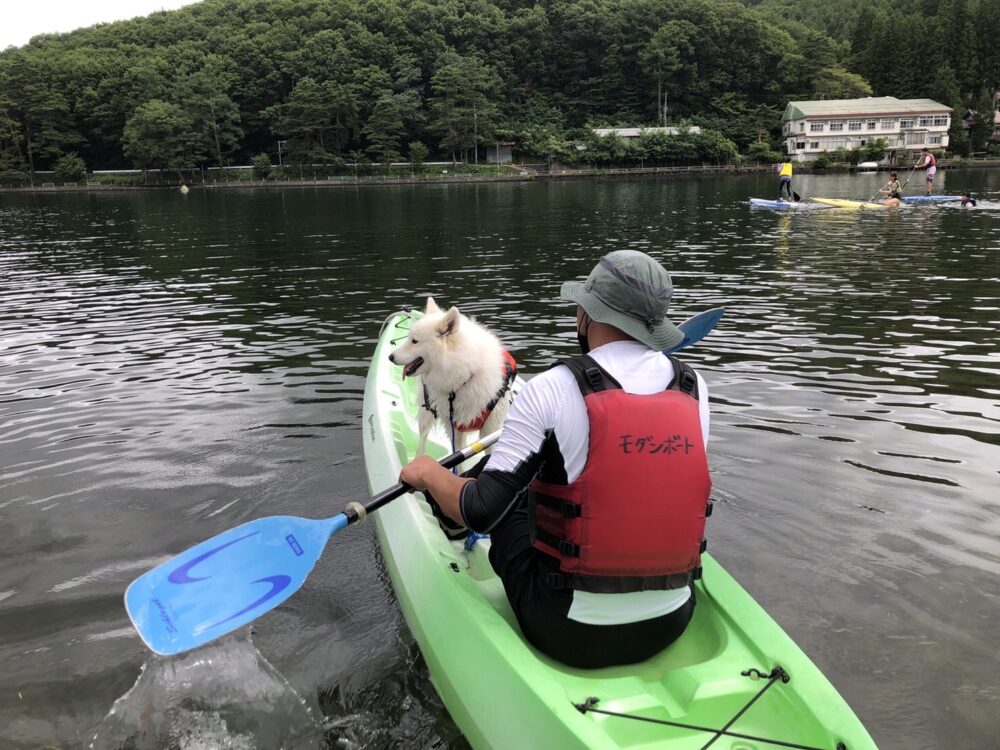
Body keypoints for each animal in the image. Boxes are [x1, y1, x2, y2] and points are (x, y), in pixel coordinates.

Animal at [388, 296, 520, 456]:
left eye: (414, 341)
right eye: (409, 339)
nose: (390, 357)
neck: (464, 378)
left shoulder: (490, 428)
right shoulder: (453, 428)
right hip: (426, 413)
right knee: (422, 442)